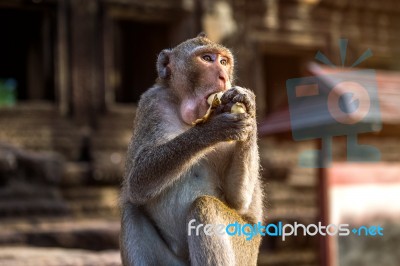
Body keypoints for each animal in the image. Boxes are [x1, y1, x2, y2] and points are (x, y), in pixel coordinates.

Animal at [120, 34, 264, 266]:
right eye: (207, 58)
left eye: (224, 61)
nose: (223, 76)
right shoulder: (151, 103)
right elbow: (138, 182)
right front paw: (214, 128)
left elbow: (239, 199)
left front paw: (248, 103)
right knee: (131, 208)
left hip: (245, 247)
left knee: (205, 206)